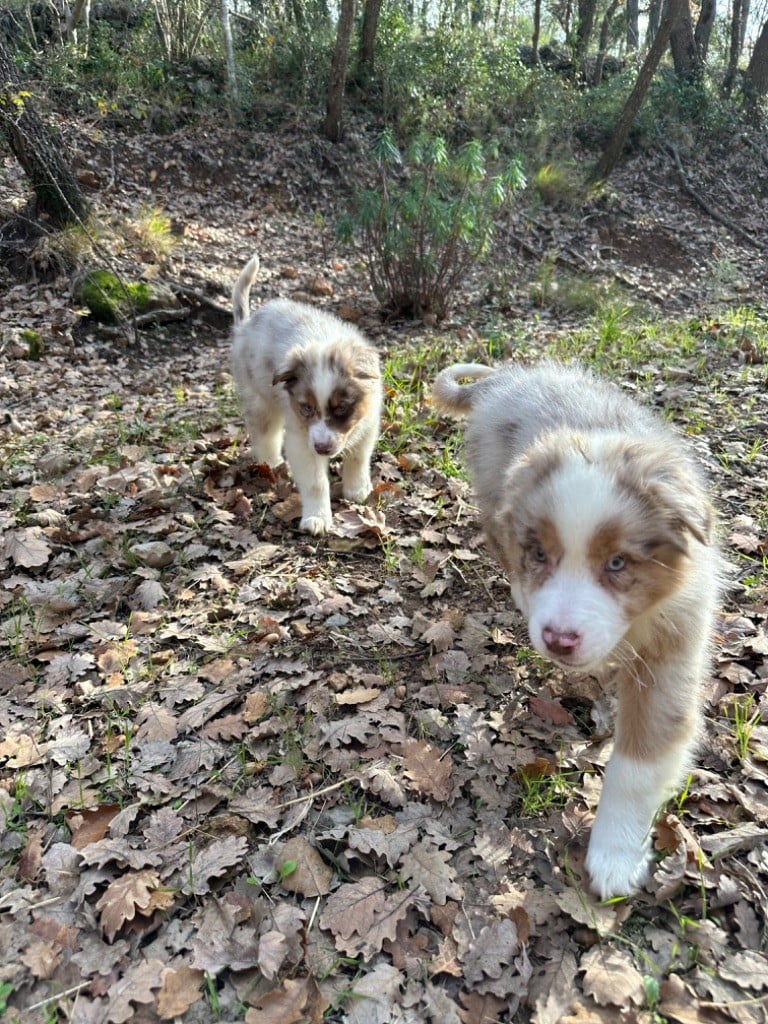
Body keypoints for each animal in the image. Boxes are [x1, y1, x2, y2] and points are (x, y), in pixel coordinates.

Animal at [230, 253, 382, 536]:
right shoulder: (302, 439)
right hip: (259, 400)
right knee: (265, 435)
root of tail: (244, 326)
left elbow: (358, 457)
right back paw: (271, 463)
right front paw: (318, 518)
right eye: (306, 408)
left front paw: (357, 489)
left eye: (341, 408)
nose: (322, 448)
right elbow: (315, 482)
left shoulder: (368, 423)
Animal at [436, 362, 724, 897]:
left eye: (617, 563)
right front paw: (615, 858)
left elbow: (636, 767)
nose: (558, 639)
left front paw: (614, 857)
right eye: (540, 554)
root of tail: (509, 376)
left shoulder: (673, 645)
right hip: (492, 494)